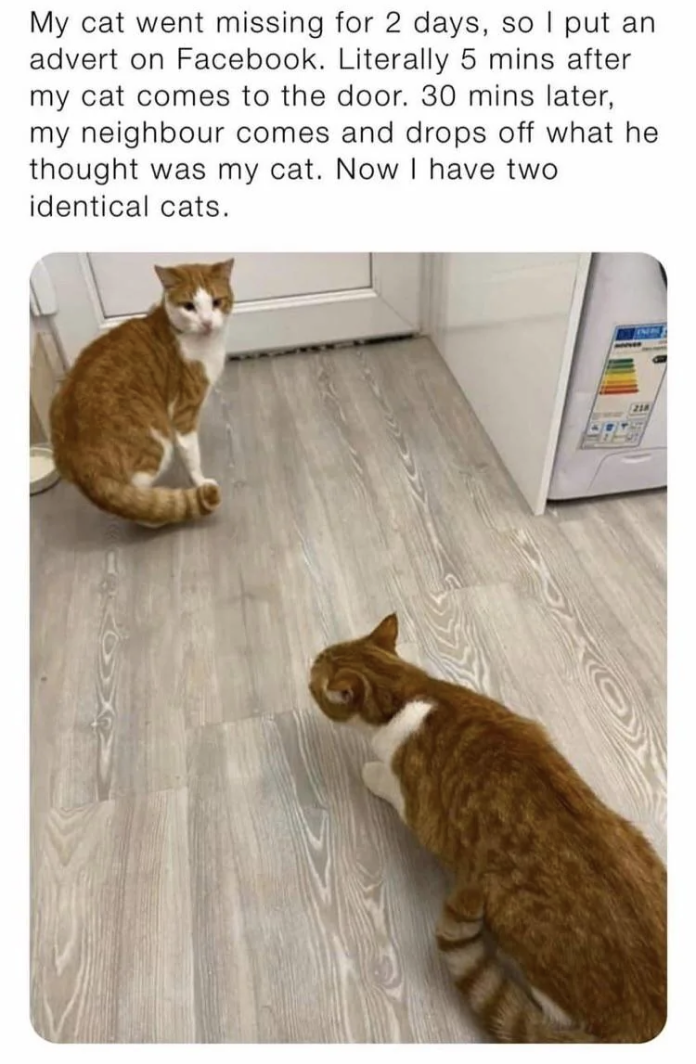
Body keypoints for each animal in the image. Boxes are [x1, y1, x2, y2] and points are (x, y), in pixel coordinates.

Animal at [48, 257, 236, 523]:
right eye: (189, 306)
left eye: (216, 302)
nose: (207, 322)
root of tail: (78, 462)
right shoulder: (183, 414)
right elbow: (192, 456)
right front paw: (200, 481)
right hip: (156, 444)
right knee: (139, 503)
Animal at [308, 612, 664, 1042]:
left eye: (315, 675)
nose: (307, 664)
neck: (410, 694)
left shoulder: (418, 808)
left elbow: (386, 784)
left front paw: (371, 773)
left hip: (512, 917)